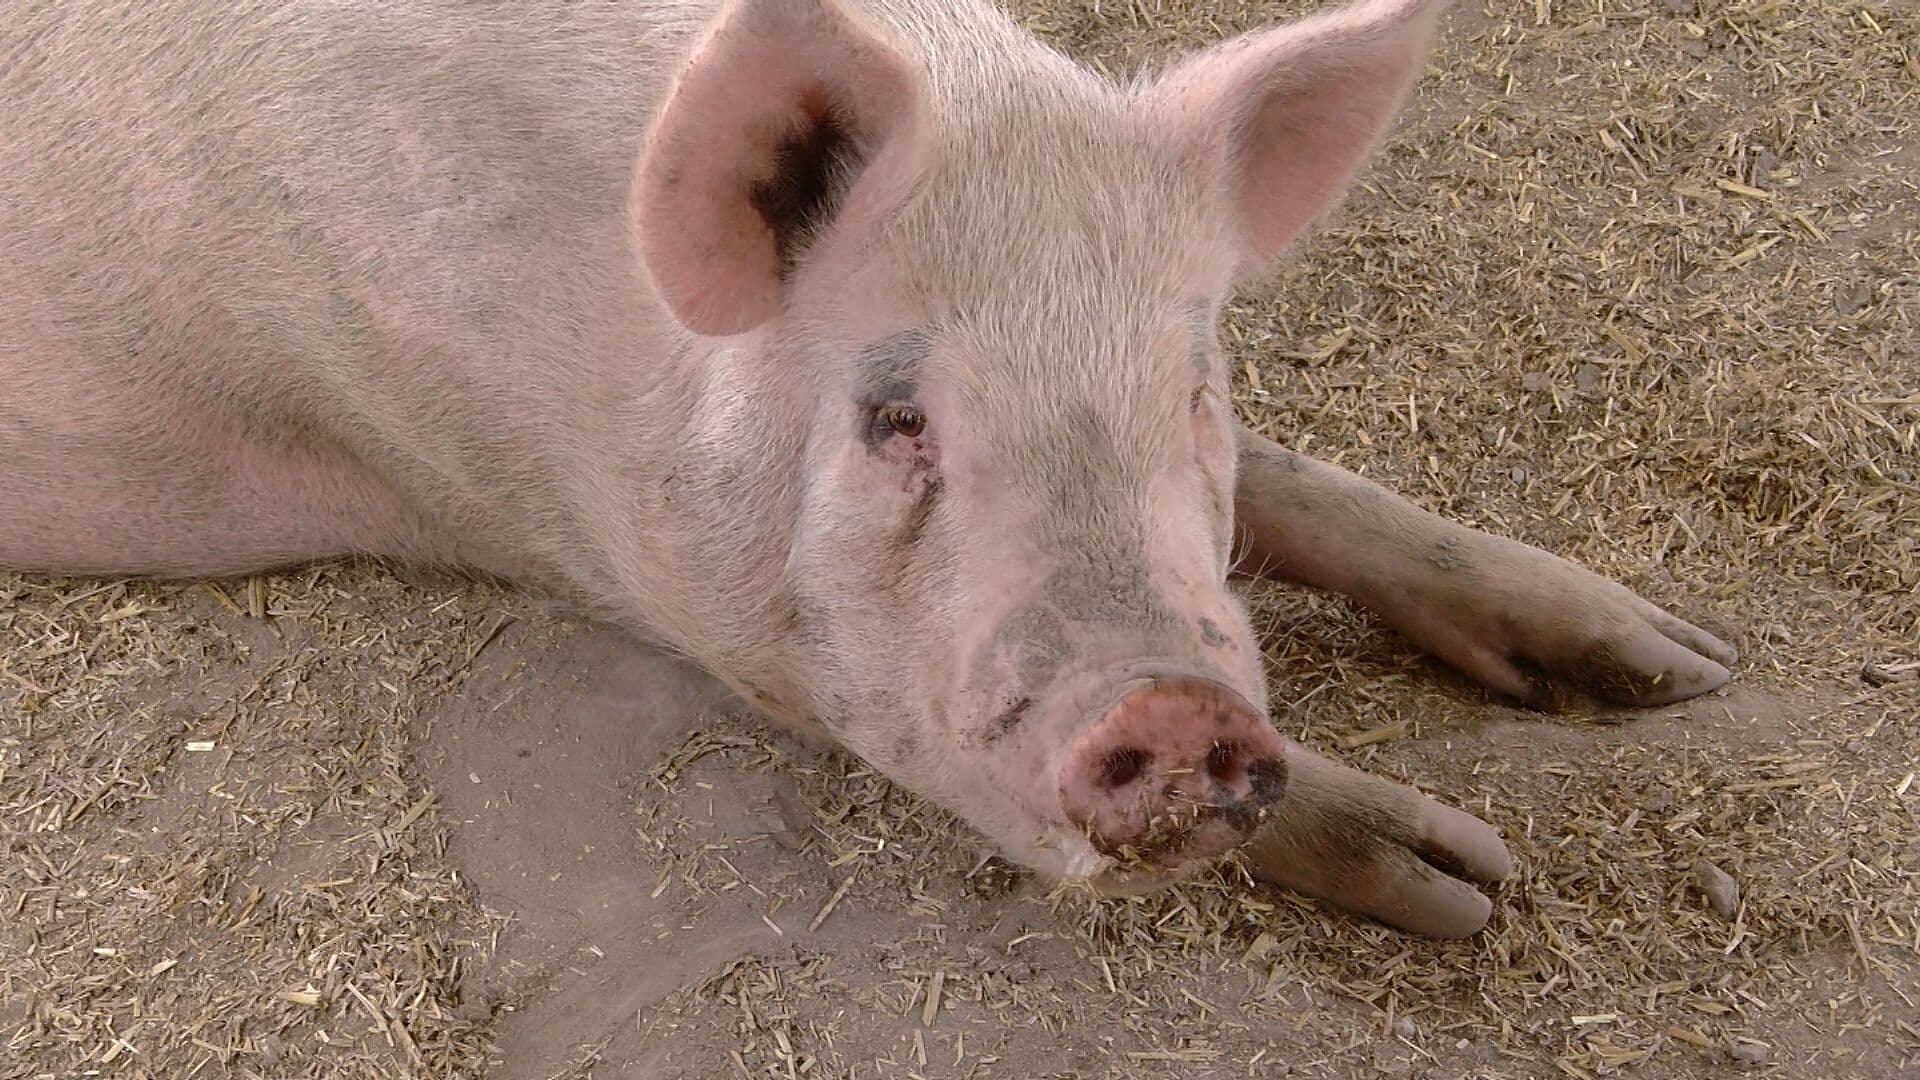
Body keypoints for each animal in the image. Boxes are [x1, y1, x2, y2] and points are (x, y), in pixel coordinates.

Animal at [0, 0, 1737, 938]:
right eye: (897, 418)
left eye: (1192, 385)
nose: (1182, 709)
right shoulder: (604, 537)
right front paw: (1469, 881)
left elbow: (1299, 484)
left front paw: (1684, 669)